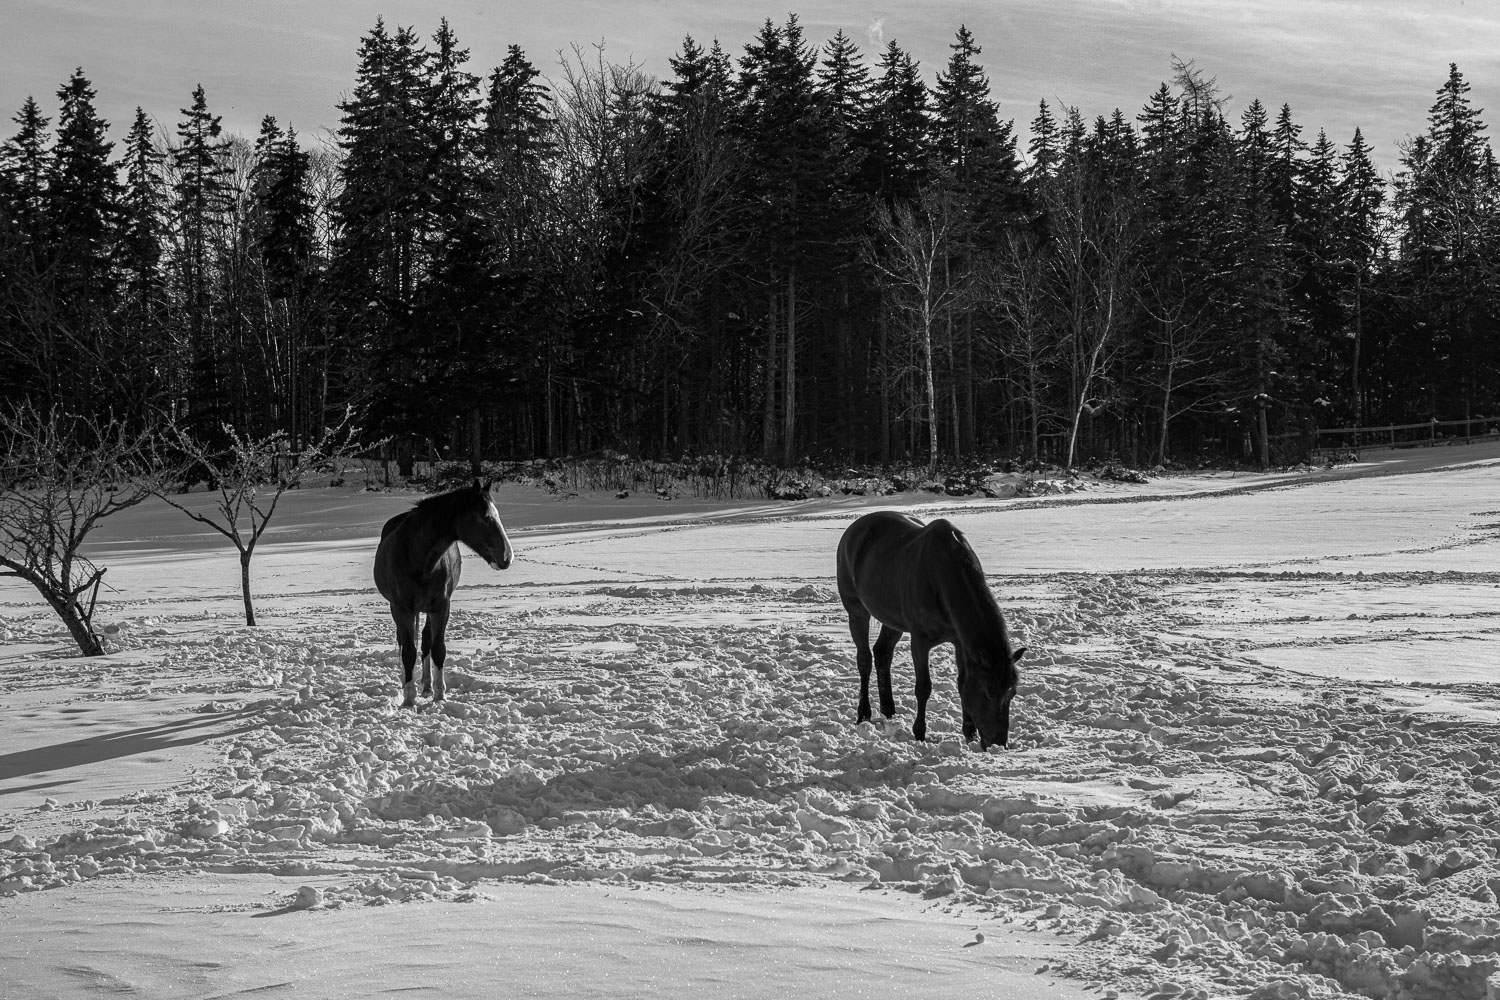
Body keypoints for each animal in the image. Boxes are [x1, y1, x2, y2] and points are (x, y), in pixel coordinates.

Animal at [372, 479, 513, 707]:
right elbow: (408, 651)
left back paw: (427, 685)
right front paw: (409, 697)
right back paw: (406, 682)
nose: (507, 557)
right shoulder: (401, 609)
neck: (417, 558)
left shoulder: (440, 607)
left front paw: (439, 694)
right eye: (485, 517)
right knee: (404, 643)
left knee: (425, 640)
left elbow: (438, 648)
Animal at [840, 512, 1026, 746]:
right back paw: (864, 713)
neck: (942, 577)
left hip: (892, 620)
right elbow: (923, 687)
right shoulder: (920, 641)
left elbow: (962, 683)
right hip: (857, 611)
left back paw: (889, 710)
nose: (998, 743)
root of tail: (852, 530)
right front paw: (919, 732)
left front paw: (969, 732)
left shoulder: (959, 642)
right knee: (864, 659)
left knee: (883, 653)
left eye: (1012, 693)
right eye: (988, 693)